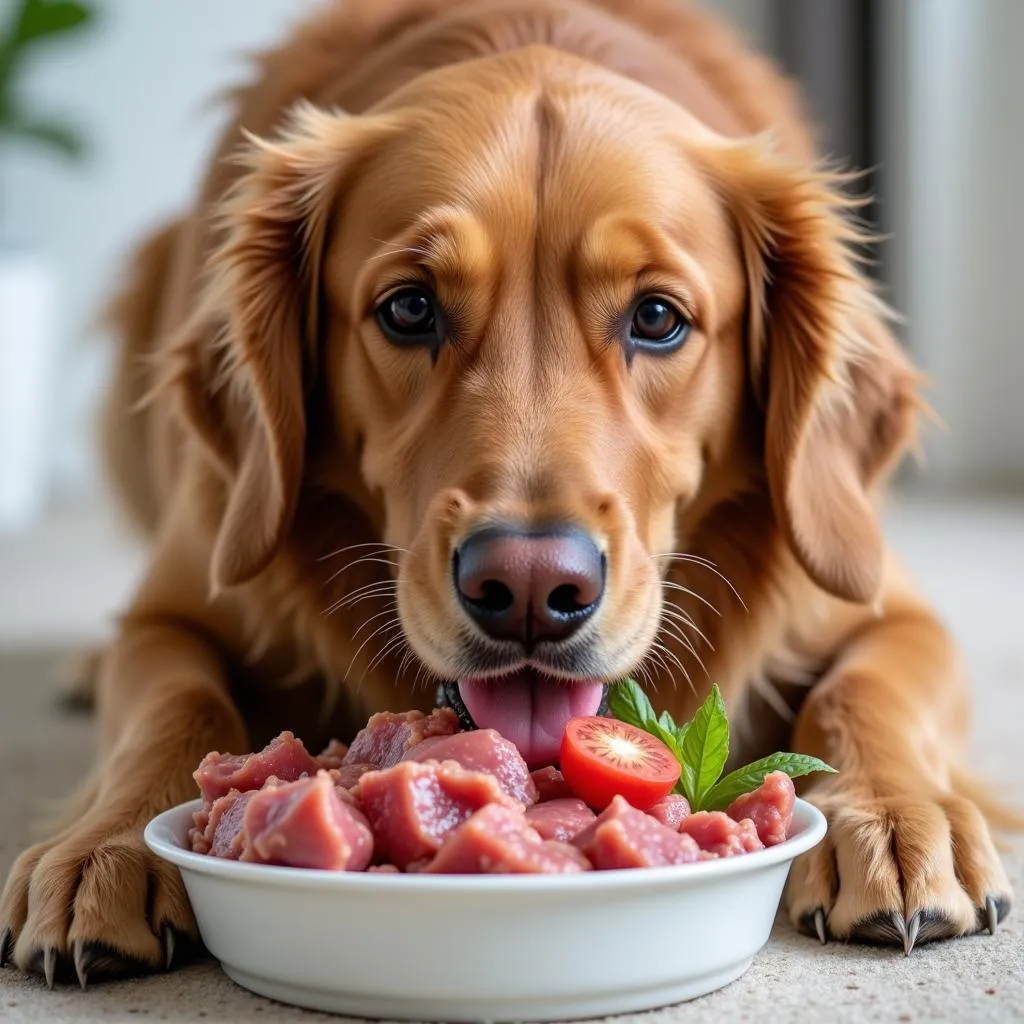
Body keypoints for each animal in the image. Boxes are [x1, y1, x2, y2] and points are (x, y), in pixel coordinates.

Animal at [0, 0, 1011, 987]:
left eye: (657, 317)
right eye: (409, 308)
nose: (529, 588)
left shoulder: (888, 605)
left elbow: (862, 693)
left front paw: (892, 816)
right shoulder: (176, 606)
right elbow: (171, 705)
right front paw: (106, 846)